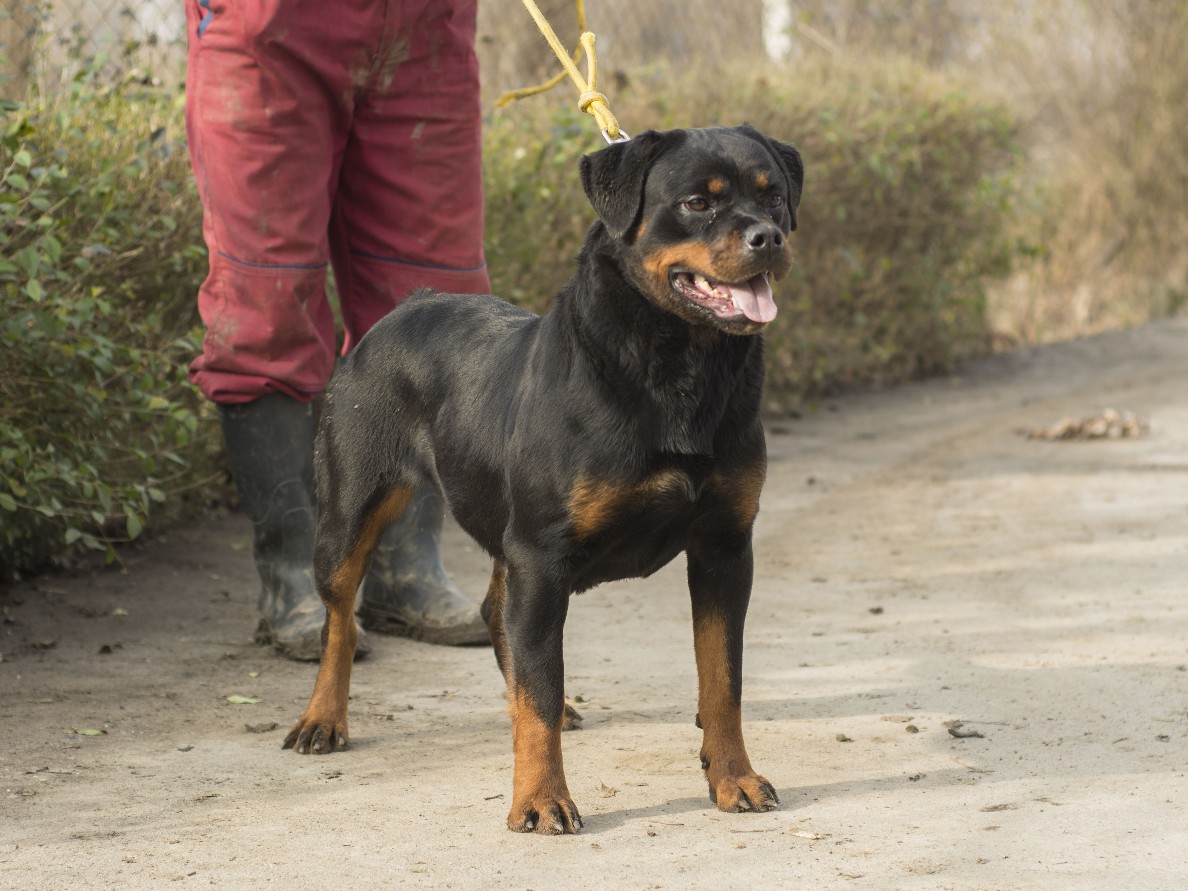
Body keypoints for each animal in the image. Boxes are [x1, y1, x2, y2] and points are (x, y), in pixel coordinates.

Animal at [285, 122, 807, 836]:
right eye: (698, 203)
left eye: (773, 195)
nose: (768, 238)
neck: (679, 368)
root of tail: (407, 307)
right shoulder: (541, 552)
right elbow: (539, 688)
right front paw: (539, 799)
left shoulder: (724, 546)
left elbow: (722, 680)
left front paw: (734, 779)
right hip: (349, 511)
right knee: (341, 618)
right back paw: (322, 719)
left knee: (496, 617)